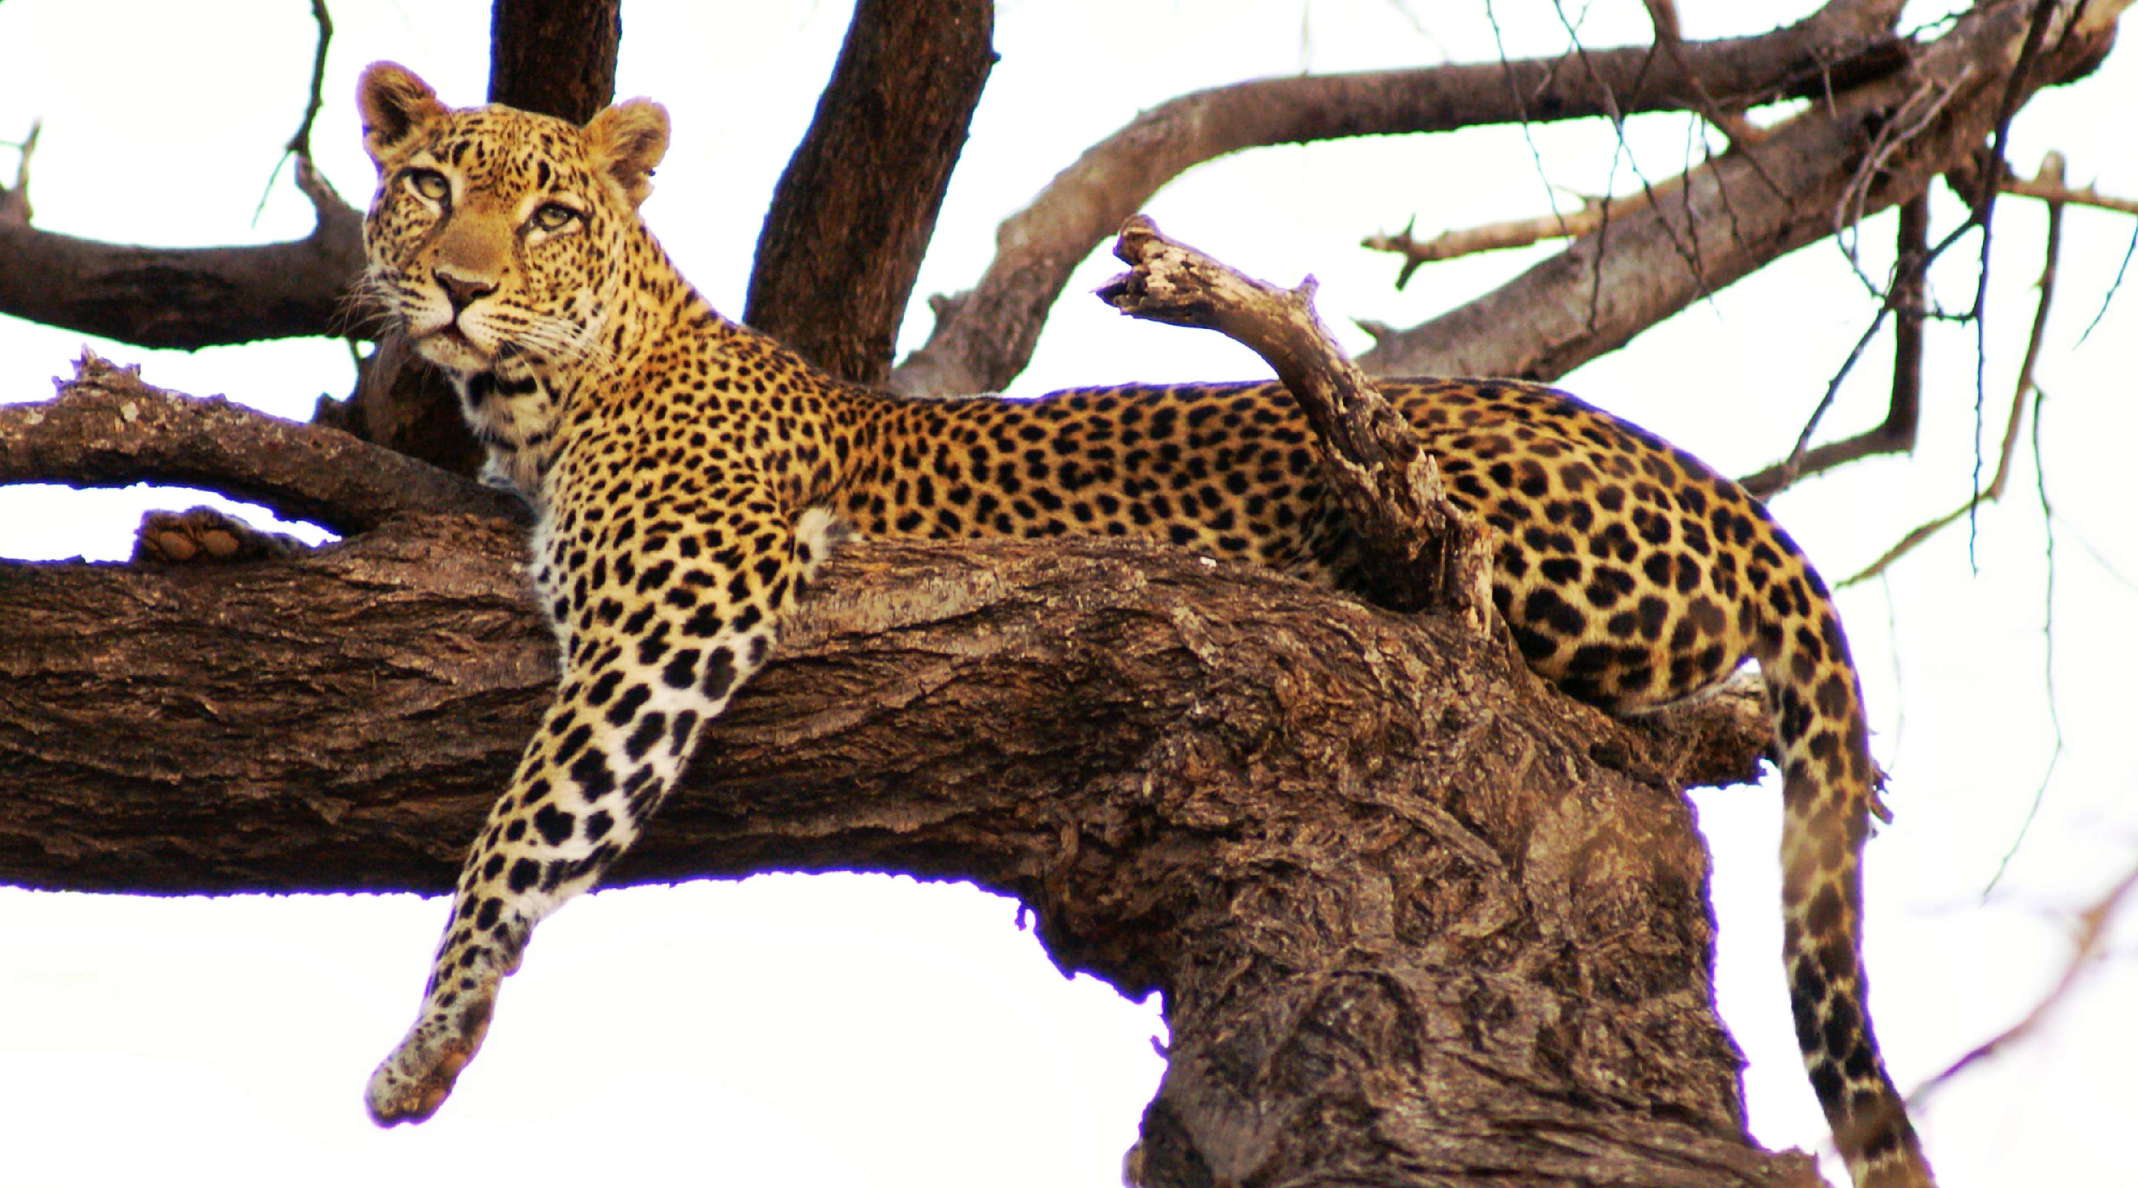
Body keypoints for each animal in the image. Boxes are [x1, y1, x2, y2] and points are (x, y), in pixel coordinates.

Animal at [354, 64, 1941, 1188]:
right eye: (427, 187)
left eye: (551, 214)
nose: (462, 287)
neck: (551, 396)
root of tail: (1692, 469)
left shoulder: (684, 603)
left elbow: (527, 825)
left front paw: (427, 1042)